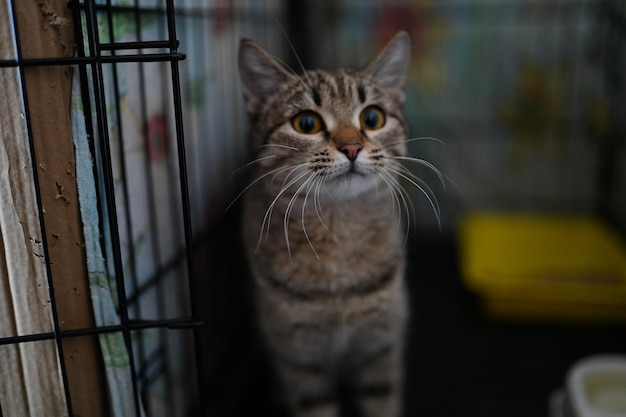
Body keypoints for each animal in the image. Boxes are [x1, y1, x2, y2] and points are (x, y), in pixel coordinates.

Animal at [238, 32, 410, 416]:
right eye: (306, 123)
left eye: (372, 118)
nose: (352, 147)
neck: (337, 231)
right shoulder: (299, 361)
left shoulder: (380, 346)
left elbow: (382, 401)